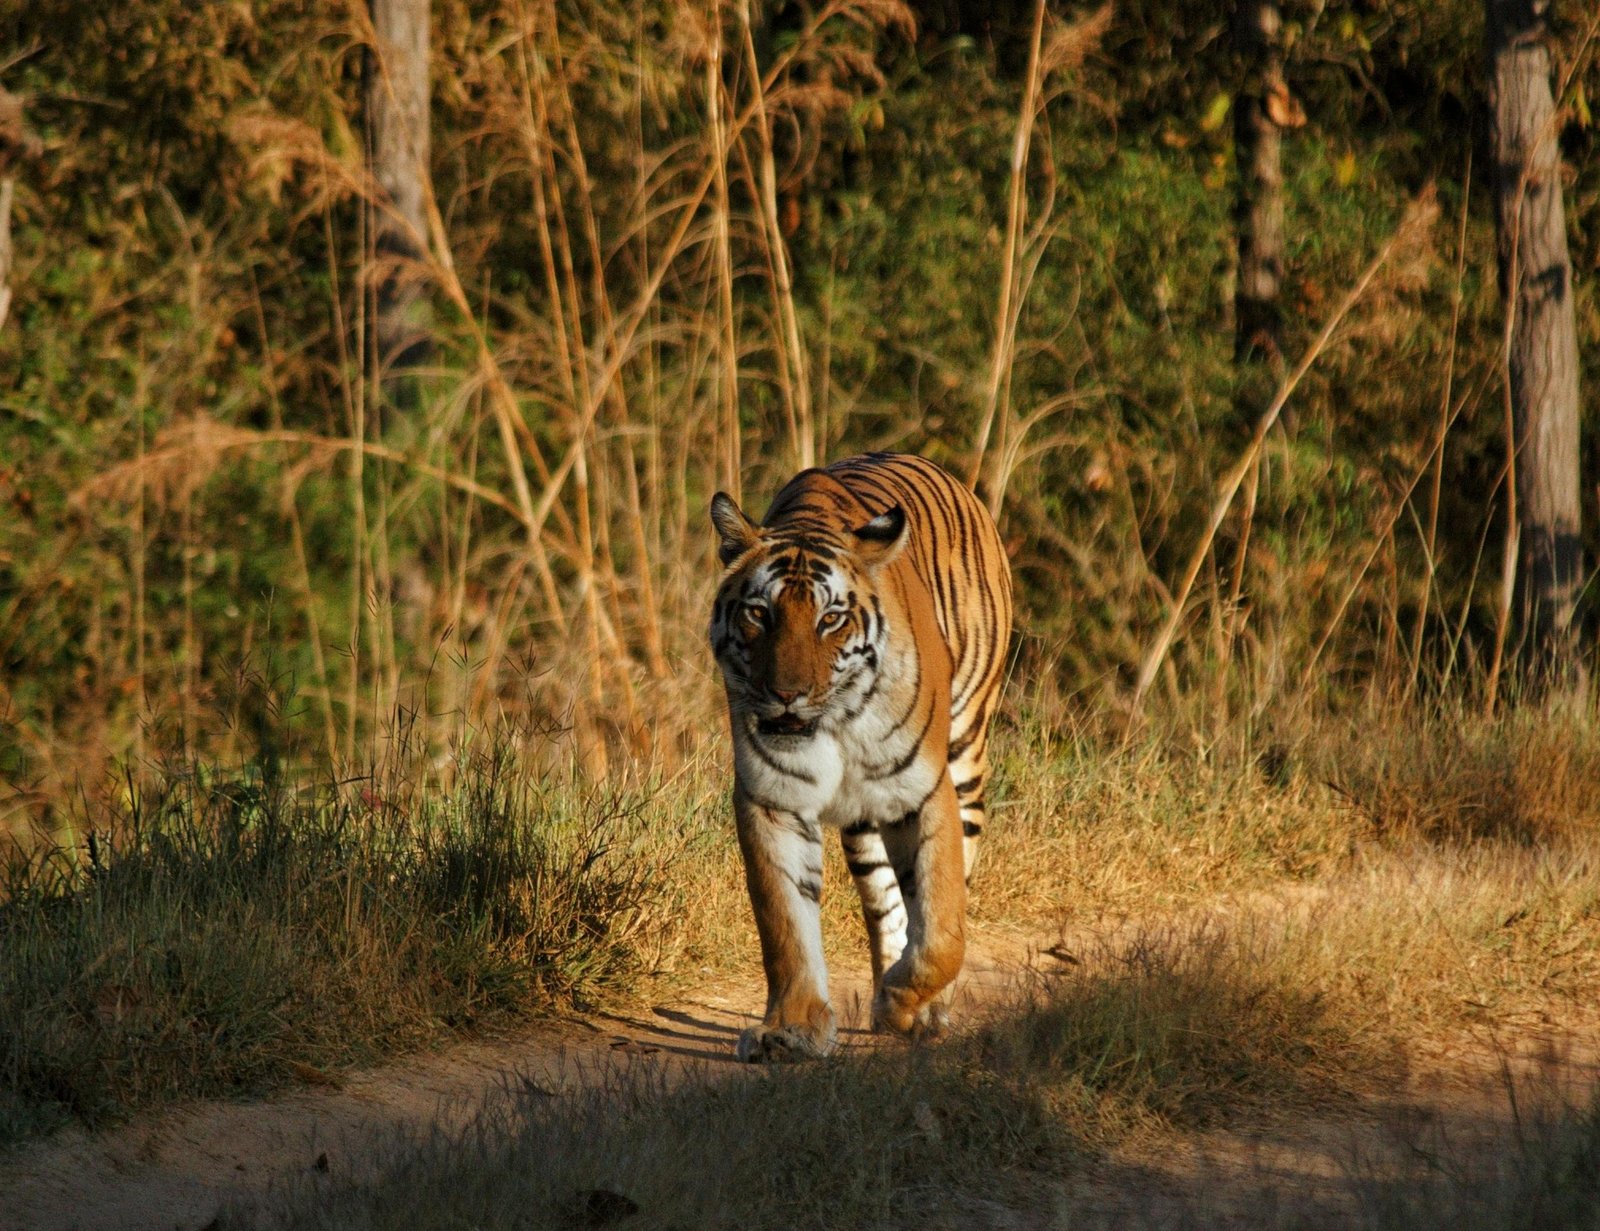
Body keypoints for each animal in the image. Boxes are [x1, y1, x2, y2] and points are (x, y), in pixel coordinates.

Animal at [709, 452, 1013, 1062]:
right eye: (759, 614)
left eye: (830, 619)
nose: (787, 693)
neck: (836, 723)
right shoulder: (774, 799)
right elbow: (785, 921)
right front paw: (791, 1029)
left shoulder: (924, 792)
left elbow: (942, 925)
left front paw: (910, 1002)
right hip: (863, 820)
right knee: (884, 899)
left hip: (966, 754)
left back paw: (920, 1008)